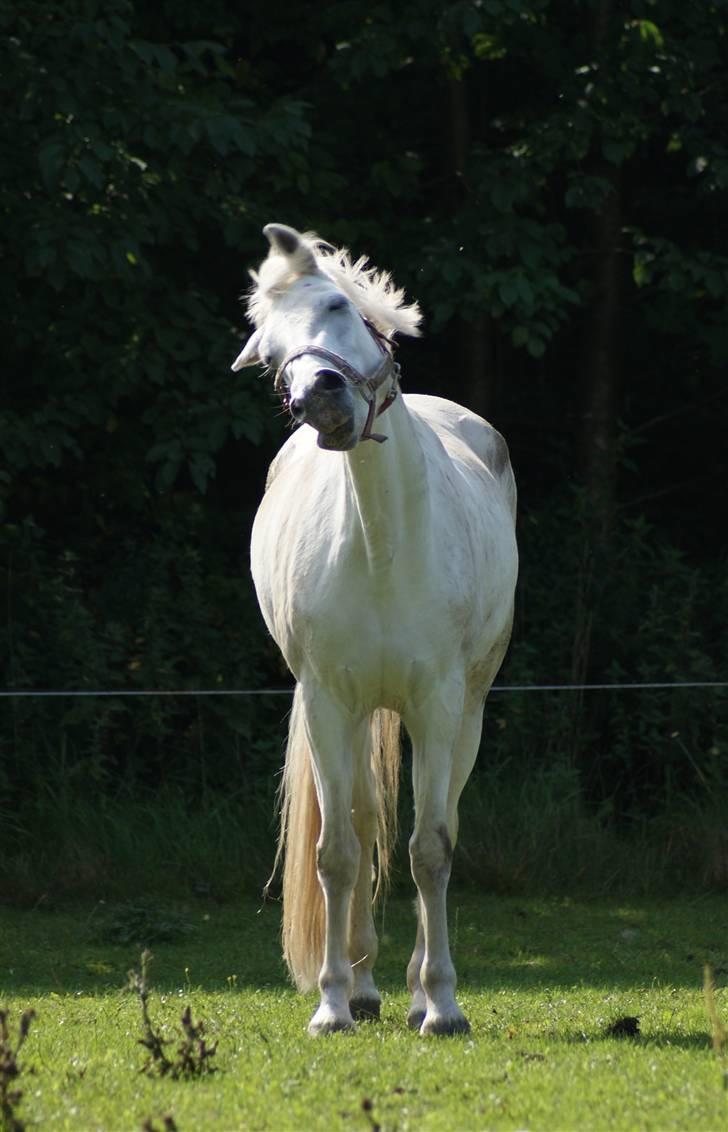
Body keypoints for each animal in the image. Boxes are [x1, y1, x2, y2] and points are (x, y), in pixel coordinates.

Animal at [232, 223, 518, 1036]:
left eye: (336, 303)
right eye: (271, 353)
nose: (318, 397)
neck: (383, 541)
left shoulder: (439, 705)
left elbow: (432, 849)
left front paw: (443, 1003)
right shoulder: (329, 702)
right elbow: (337, 852)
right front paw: (332, 1004)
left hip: (465, 714)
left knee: (440, 819)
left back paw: (418, 990)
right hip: (357, 717)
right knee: (360, 824)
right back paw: (362, 985)